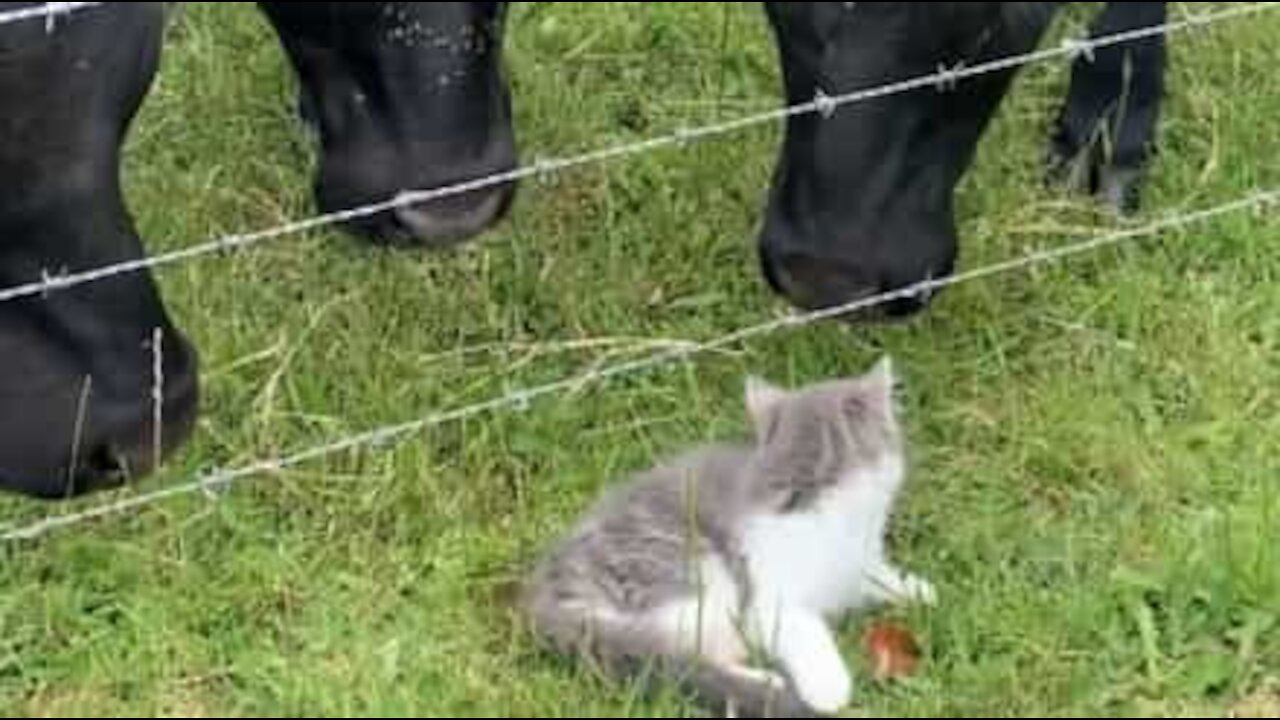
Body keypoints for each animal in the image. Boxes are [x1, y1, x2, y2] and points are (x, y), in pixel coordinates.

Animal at [517, 356, 931, 712]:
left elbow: (876, 576)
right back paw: (766, 682)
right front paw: (831, 690)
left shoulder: (856, 563)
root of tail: (545, 595)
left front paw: (917, 590)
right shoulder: (769, 599)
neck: (812, 495)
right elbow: (807, 633)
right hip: (695, 585)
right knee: (679, 656)